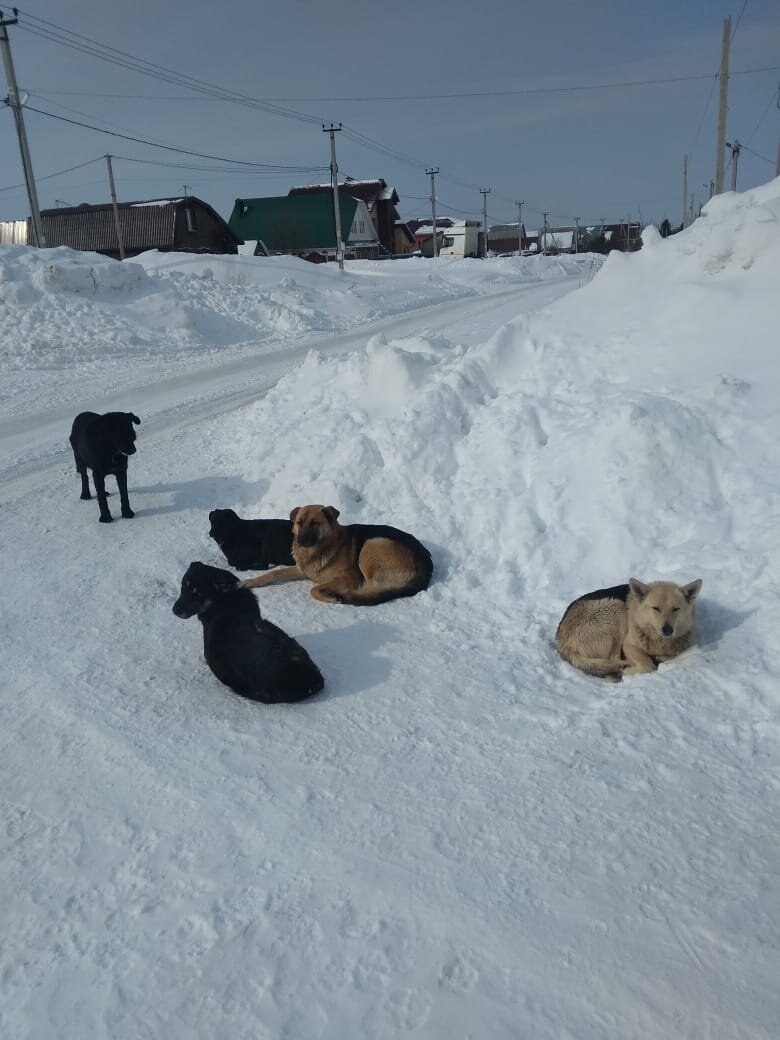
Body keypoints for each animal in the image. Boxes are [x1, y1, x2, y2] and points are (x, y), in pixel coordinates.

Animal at [241, 505, 434, 607]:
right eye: (299, 523)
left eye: (315, 523)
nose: (301, 540)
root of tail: (427, 564)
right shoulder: (300, 570)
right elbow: (273, 573)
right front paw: (249, 582)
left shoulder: (350, 578)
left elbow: (314, 589)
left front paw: (330, 596)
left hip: (372, 545)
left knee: (371, 589)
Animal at [557, 578, 707, 682]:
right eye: (656, 608)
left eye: (676, 609)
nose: (667, 630)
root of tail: (563, 643)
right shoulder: (628, 645)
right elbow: (646, 664)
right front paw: (631, 670)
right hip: (616, 607)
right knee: (614, 659)